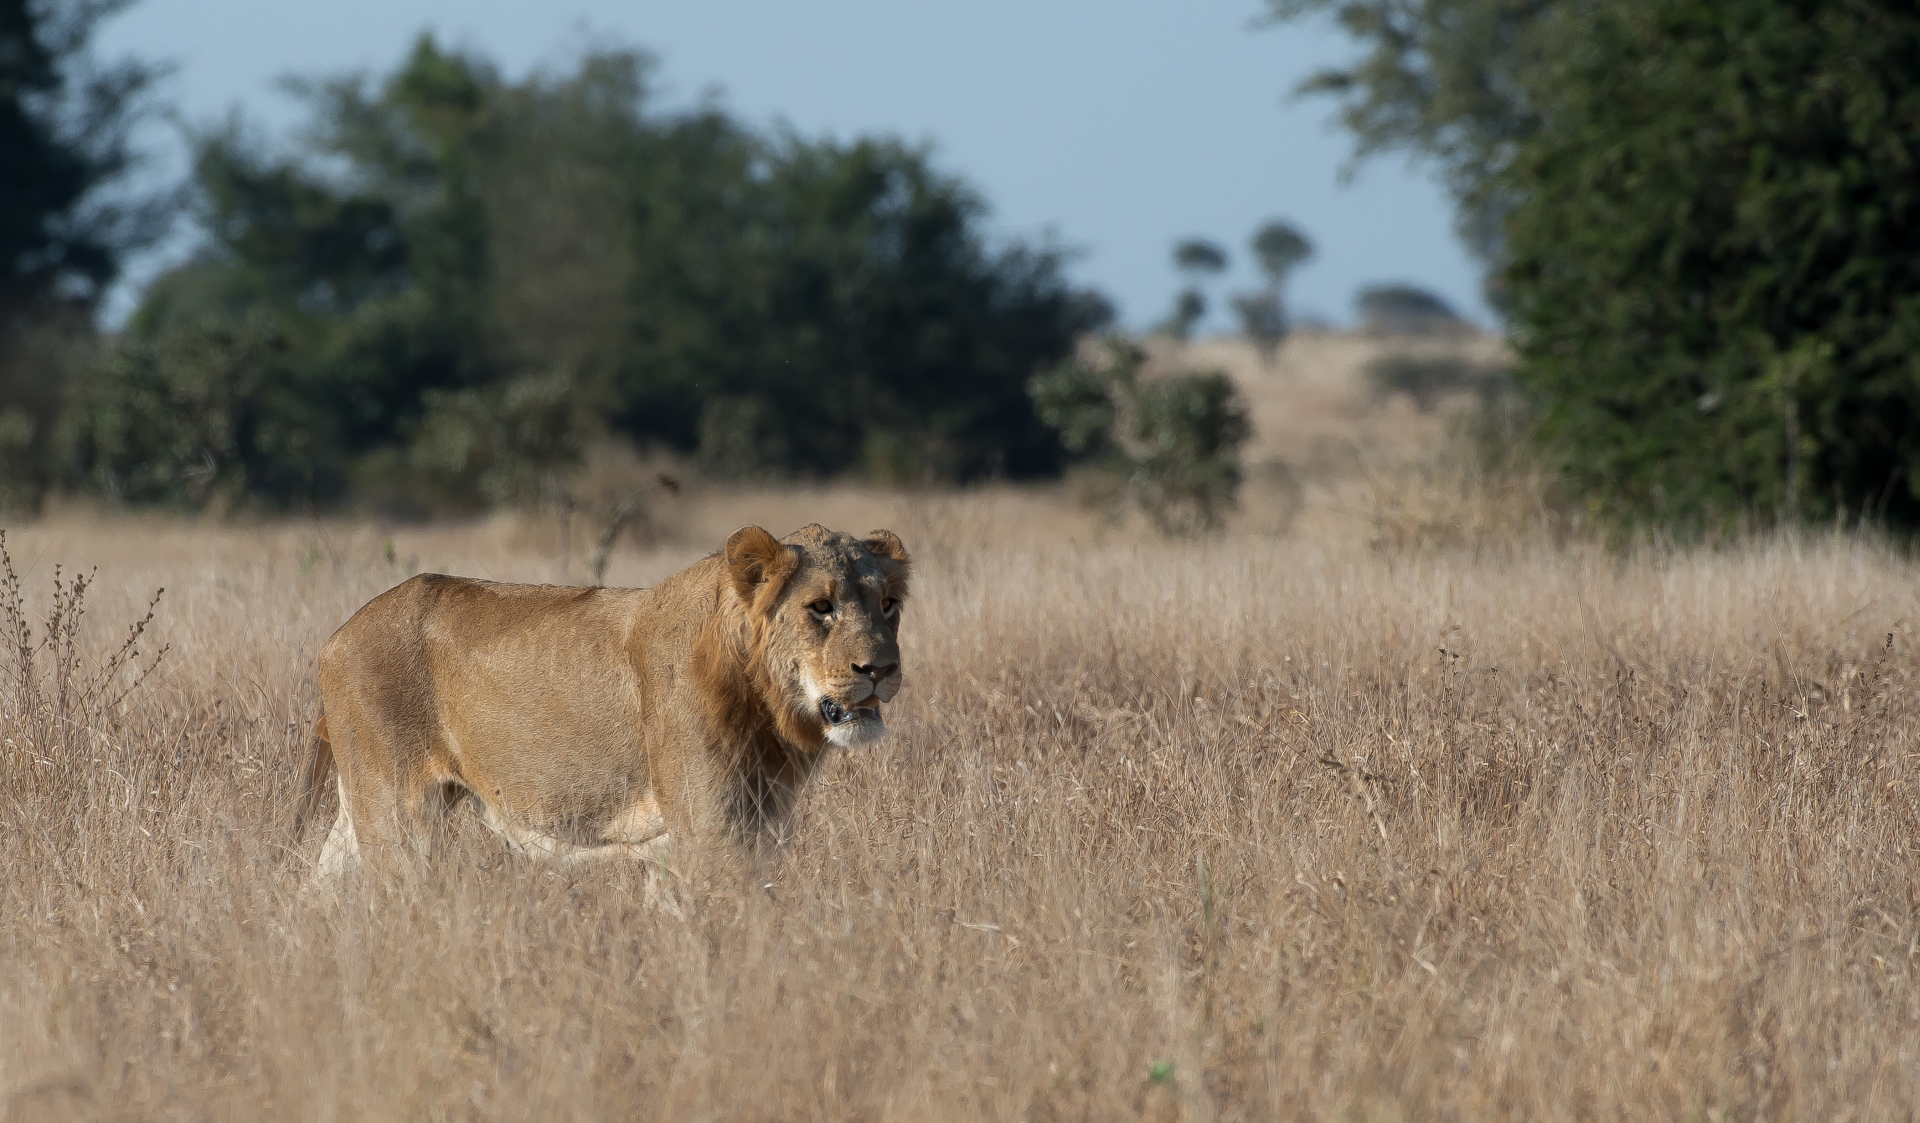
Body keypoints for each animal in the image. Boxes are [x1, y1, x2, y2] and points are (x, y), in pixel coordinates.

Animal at [292, 523, 909, 882]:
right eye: (821, 607)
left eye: (887, 605)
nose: (880, 670)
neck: (772, 711)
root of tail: (337, 636)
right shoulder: (711, 834)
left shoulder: (756, 831)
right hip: (398, 816)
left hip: (360, 813)